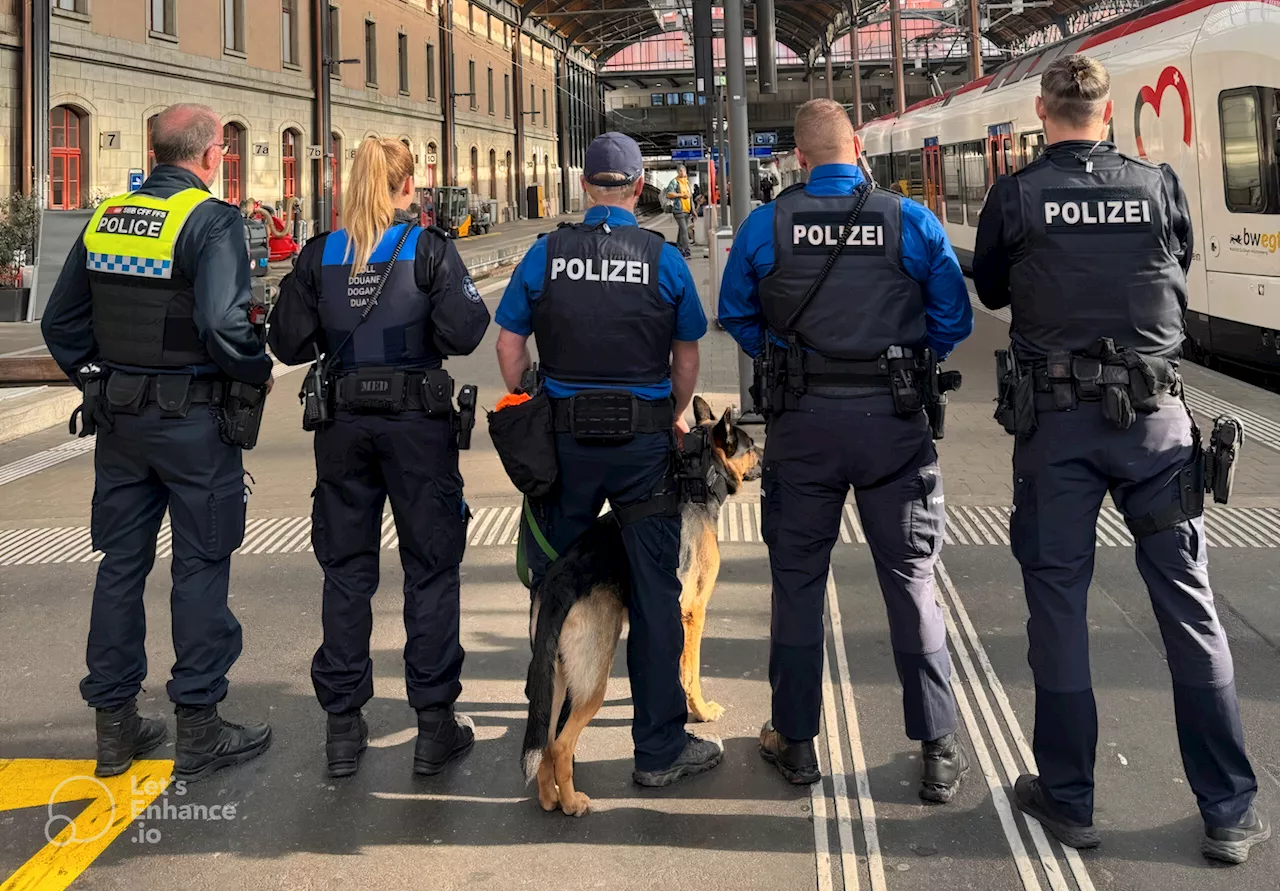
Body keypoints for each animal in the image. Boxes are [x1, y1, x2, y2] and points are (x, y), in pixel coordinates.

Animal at [519, 399, 757, 819]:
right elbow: (690, 672)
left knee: (546, 742)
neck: (698, 480)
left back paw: (549, 798)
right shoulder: (692, 613)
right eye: (751, 445)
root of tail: (559, 582)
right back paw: (572, 802)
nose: (765, 458)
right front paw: (699, 711)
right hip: (592, 682)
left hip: (557, 678)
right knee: (561, 744)